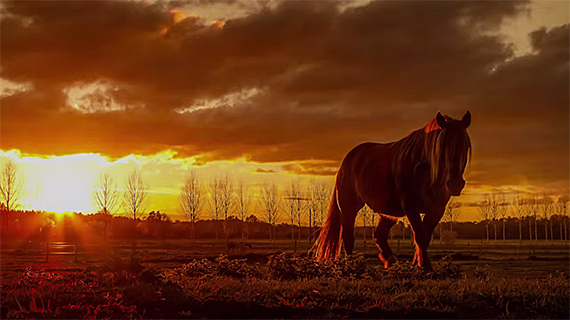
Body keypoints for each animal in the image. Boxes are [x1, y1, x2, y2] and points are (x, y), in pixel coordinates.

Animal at [312, 111, 468, 268]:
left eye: (465, 146)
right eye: (442, 145)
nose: (455, 184)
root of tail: (347, 161)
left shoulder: (436, 209)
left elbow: (425, 237)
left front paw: (417, 264)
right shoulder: (410, 207)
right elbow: (420, 236)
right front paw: (424, 266)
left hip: (389, 213)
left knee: (378, 235)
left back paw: (390, 259)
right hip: (348, 208)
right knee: (348, 237)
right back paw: (352, 265)